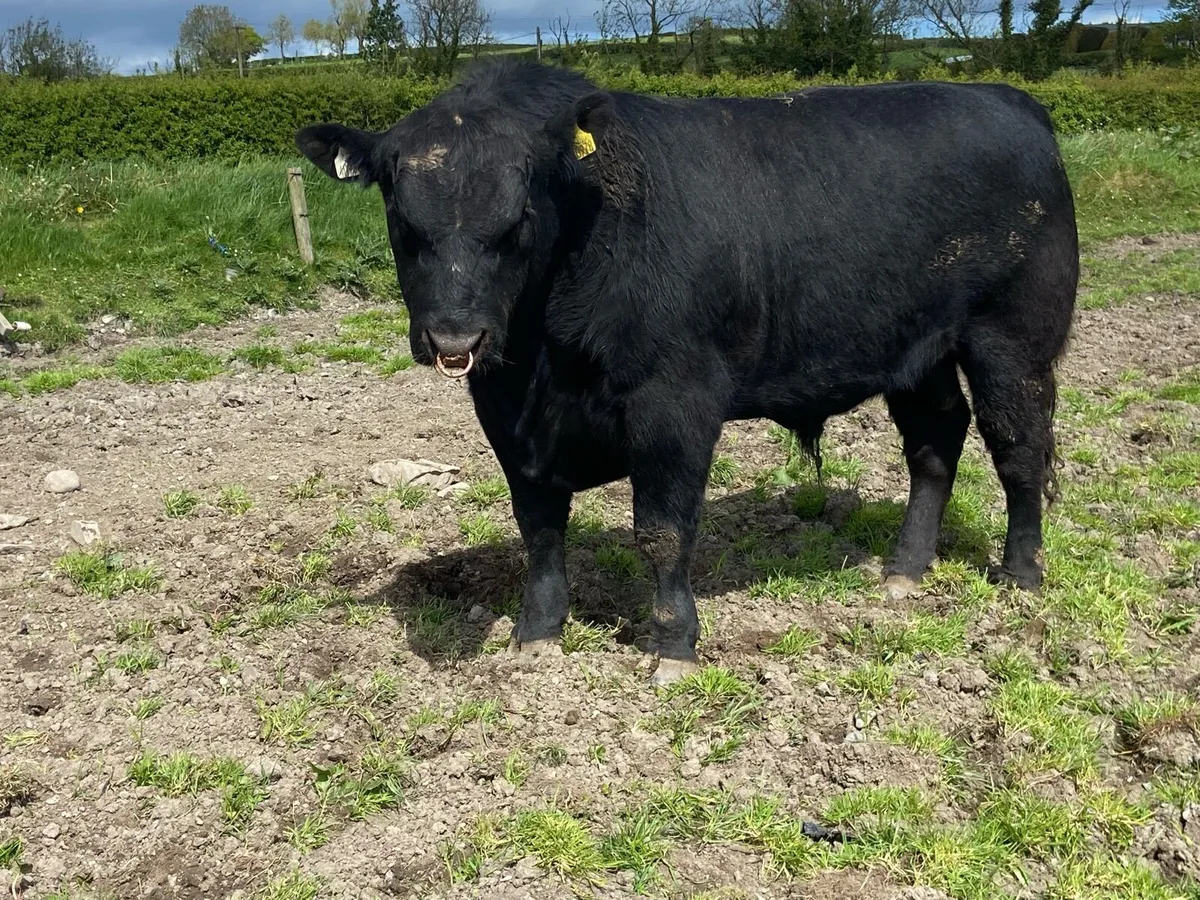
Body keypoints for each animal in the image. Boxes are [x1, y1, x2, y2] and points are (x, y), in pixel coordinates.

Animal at [295, 60, 1078, 685]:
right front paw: (536, 634)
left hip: (1011, 338)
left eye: (517, 219)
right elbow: (538, 526)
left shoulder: (673, 402)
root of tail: (1007, 99)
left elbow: (663, 531)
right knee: (935, 443)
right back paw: (905, 570)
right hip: (917, 350)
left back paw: (1021, 575)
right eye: (403, 219)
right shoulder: (506, 409)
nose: (454, 336)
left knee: (1019, 448)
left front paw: (673, 646)